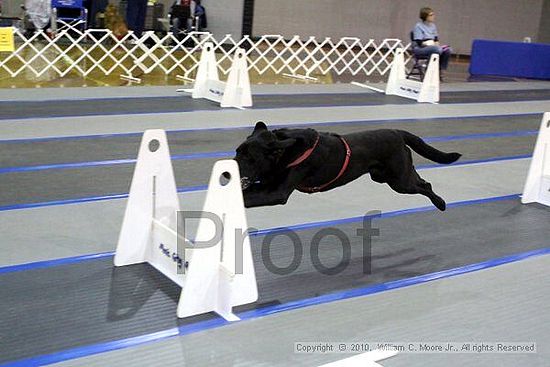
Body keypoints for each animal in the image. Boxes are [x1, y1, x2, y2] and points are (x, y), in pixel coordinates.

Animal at [235, 122, 464, 211]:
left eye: (248, 157)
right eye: (237, 152)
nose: (229, 171)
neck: (284, 152)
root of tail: (397, 132)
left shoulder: (276, 192)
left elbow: (249, 198)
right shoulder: (268, 184)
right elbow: (247, 192)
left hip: (400, 180)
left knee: (425, 185)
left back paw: (441, 203)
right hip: (387, 177)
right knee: (421, 180)